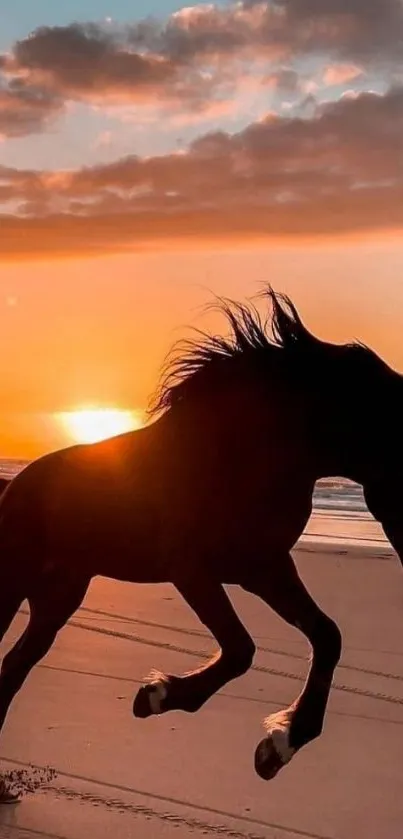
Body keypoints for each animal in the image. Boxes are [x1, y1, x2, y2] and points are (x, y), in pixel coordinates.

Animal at [0, 288, 402, 788]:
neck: (247, 453)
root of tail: (15, 486)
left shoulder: (264, 567)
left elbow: (326, 636)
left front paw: (280, 746)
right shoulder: (193, 570)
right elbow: (241, 649)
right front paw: (158, 696)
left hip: (56, 601)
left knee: (13, 667)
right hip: (11, 585)